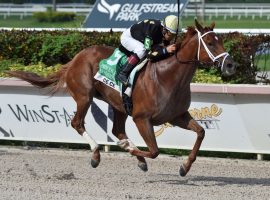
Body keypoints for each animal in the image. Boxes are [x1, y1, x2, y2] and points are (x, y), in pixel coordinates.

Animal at [6, 19, 234, 177]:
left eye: (221, 40)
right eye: (210, 43)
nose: (231, 64)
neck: (167, 77)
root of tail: (76, 58)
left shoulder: (177, 116)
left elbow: (201, 132)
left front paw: (185, 167)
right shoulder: (142, 119)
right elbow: (154, 151)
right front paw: (131, 149)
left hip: (118, 105)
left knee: (117, 129)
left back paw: (132, 154)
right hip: (84, 96)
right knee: (77, 123)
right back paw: (97, 154)